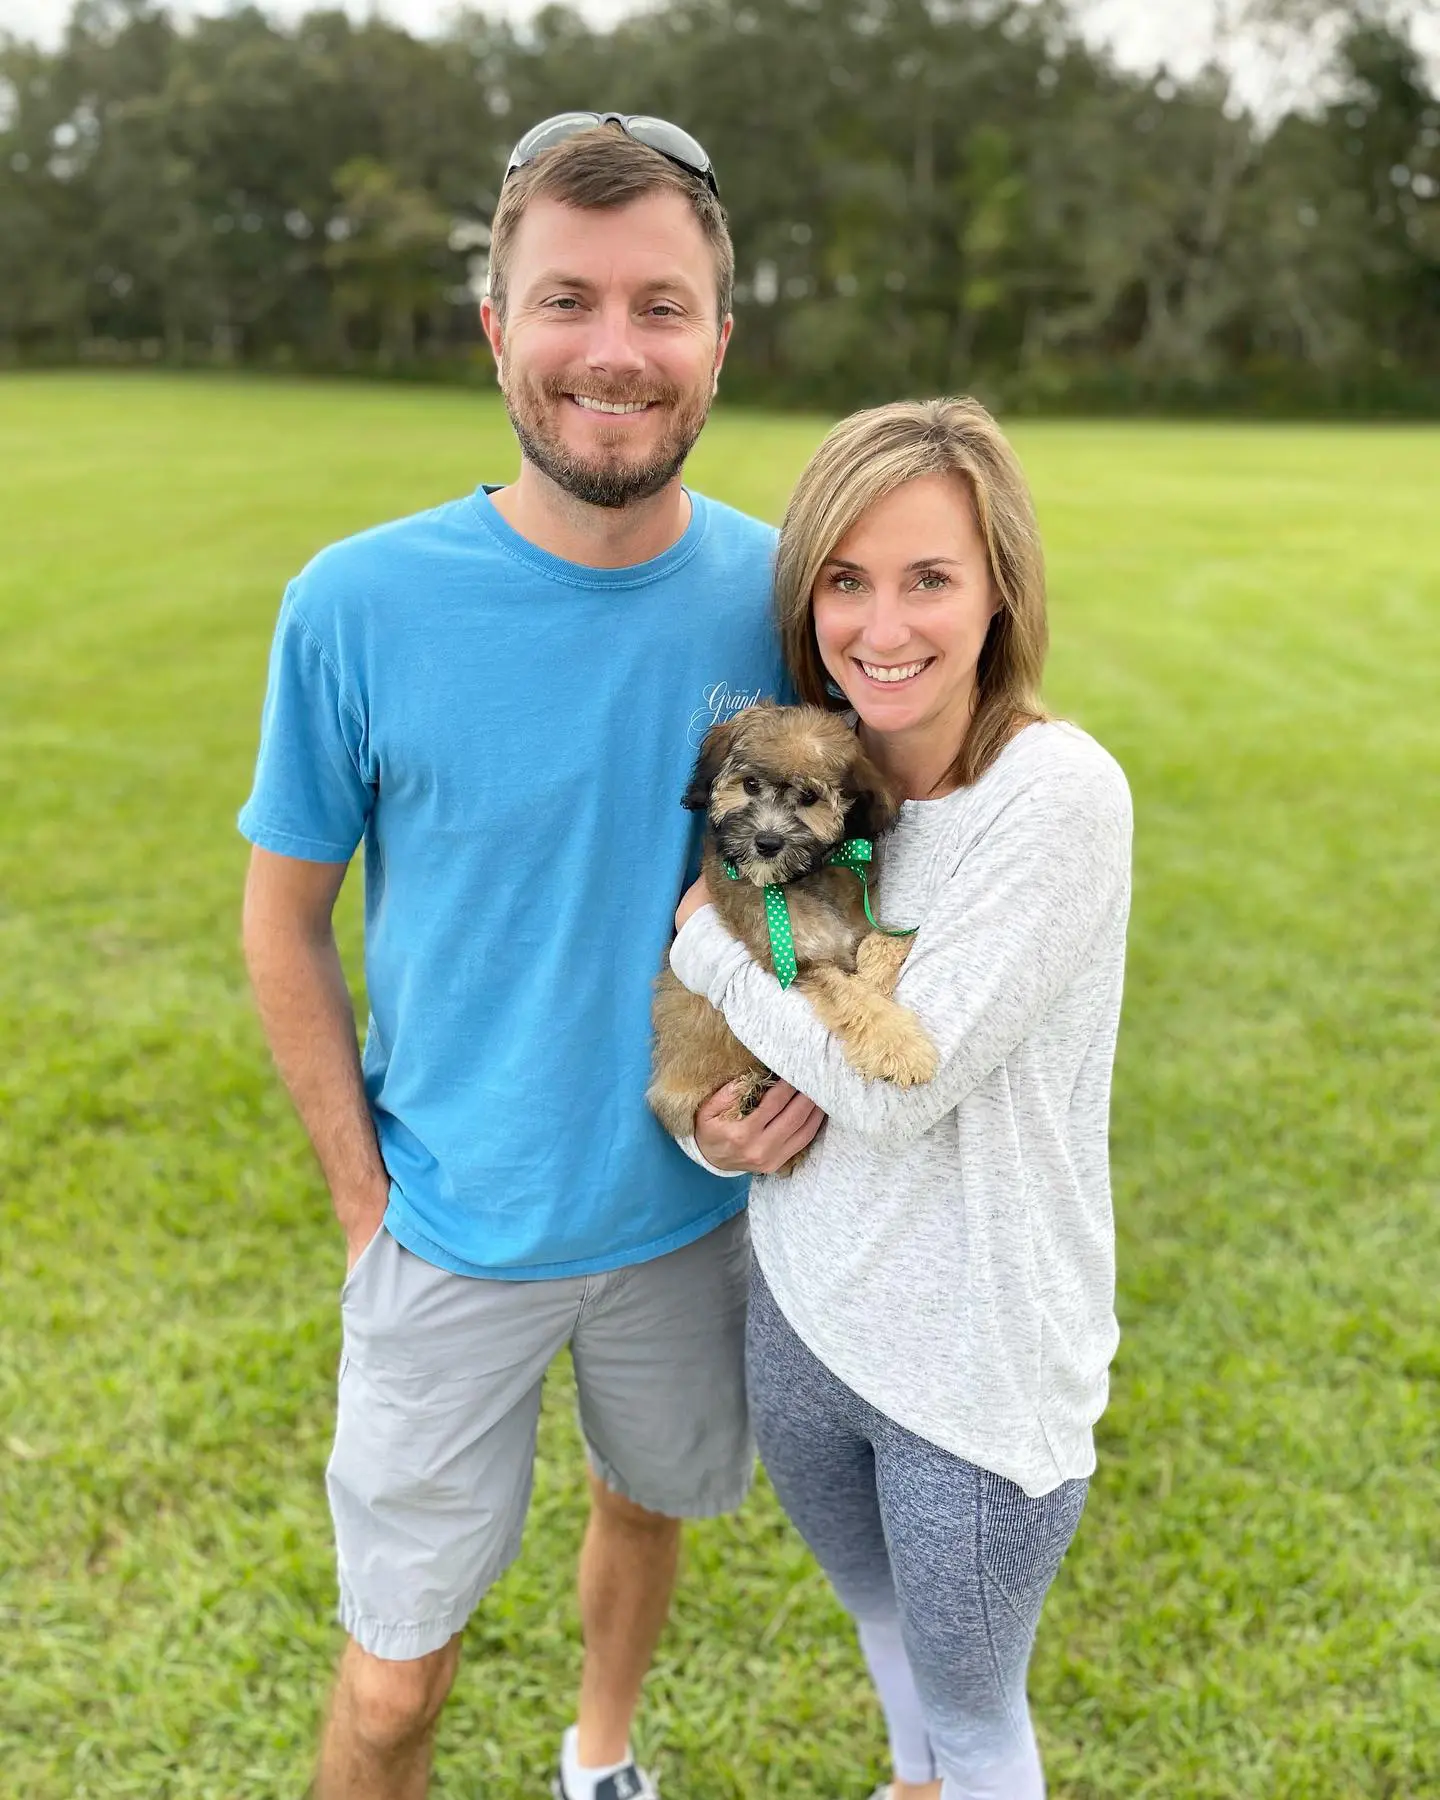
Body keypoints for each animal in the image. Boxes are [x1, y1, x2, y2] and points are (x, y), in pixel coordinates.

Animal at [648, 702, 936, 1152]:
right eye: (750, 784)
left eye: (809, 798)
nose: (767, 843)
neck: (799, 880)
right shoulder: (800, 959)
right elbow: (855, 1000)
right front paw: (902, 1047)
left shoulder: (855, 928)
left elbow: (879, 943)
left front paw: (884, 968)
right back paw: (750, 1094)